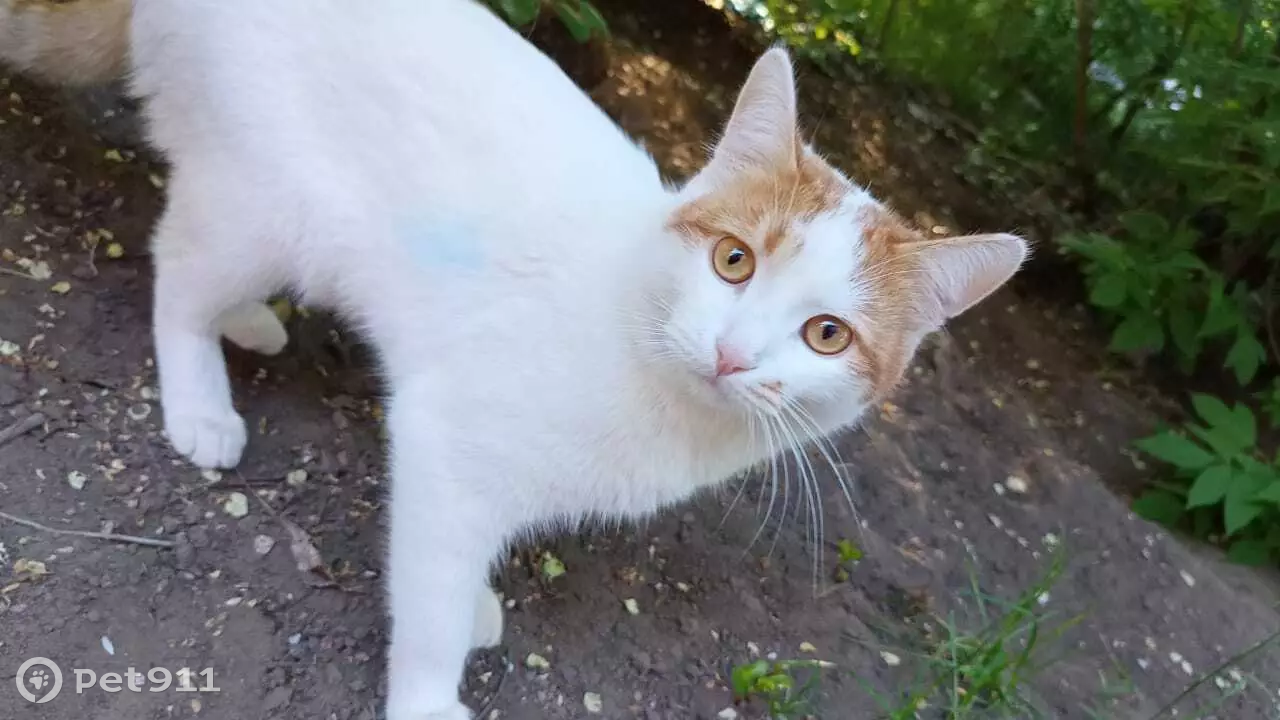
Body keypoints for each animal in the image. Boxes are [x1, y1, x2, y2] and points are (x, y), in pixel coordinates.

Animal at [0, 0, 1028, 717]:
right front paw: (429, 687)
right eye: (733, 260)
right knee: (178, 267)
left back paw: (247, 322)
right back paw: (202, 397)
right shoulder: (448, 439)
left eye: (827, 334)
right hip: (268, 206)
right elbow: (428, 590)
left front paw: (475, 604)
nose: (734, 355)